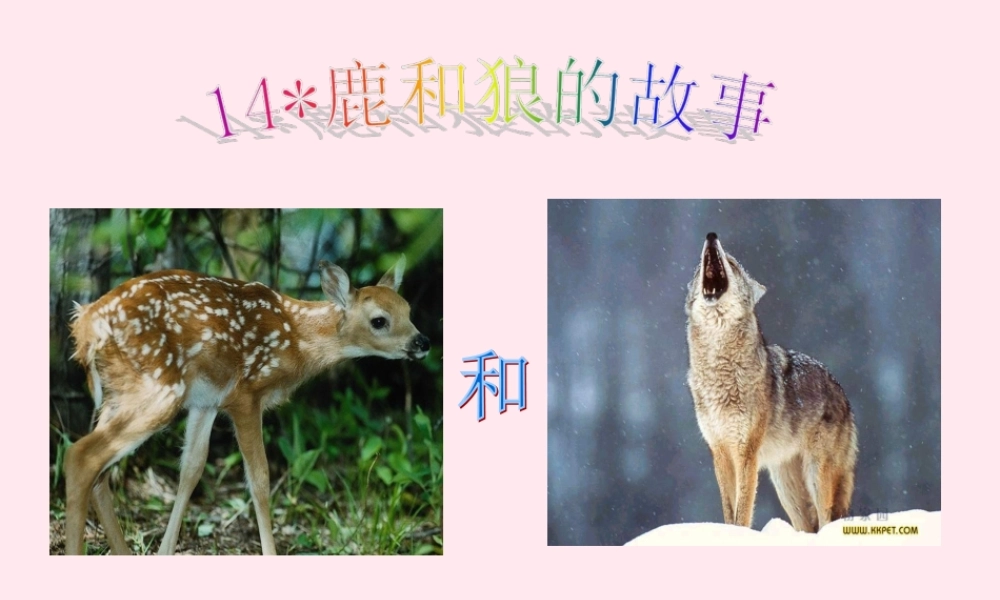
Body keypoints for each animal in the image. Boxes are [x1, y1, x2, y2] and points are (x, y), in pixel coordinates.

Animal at [63, 256, 430, 555]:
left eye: (408, 311)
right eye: (379, 320)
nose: (422, 341)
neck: (296, 338)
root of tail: (85, 326)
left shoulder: (207, 401)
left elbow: (191, 469)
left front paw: (165, 552)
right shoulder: (246, 395)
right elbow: (260, 480)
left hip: (121, 393)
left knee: (100, 473)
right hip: (158, 389)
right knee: (82, 456)